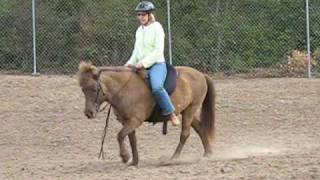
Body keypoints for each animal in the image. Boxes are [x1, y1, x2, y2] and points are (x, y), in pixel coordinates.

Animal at [76, 62, 216, 166]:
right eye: (82, 89)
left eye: (94, 89)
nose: (89, 112)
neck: (124, 89)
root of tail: (201, 74)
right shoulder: (127, 121)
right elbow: (131, 139)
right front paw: (134, 161)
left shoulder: (135, 120)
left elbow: (120, 135)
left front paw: (125, 157)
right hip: (186, 111)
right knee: (200, 128)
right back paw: (208, 153)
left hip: (191, 109)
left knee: (185, 134)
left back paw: (174, 158)